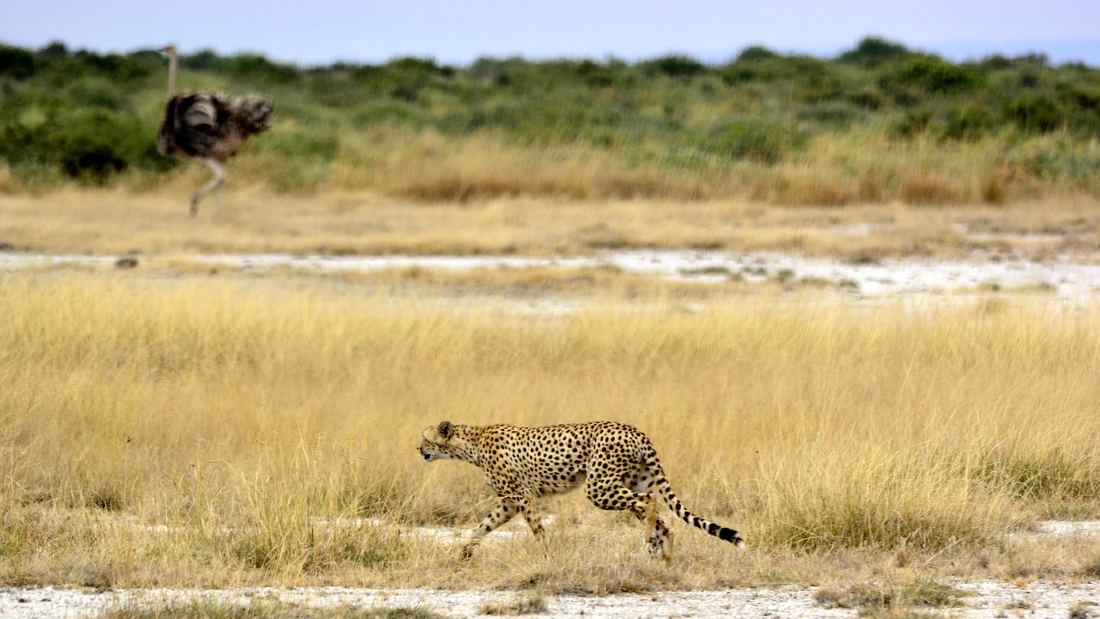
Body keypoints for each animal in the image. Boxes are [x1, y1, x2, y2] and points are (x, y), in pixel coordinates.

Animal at [418, 420, 743, 560]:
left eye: (425, 438)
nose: (419, 450)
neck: (471, 443)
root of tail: (635, 430)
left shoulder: (521, 496)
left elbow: (537, 530)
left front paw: (547, 557)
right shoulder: (509, 502)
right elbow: (483, 526)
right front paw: (462, 553)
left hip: (598, 488)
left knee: (650, 502)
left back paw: (651, 543)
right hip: (628, 482)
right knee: (663, 518)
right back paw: (662, 557)